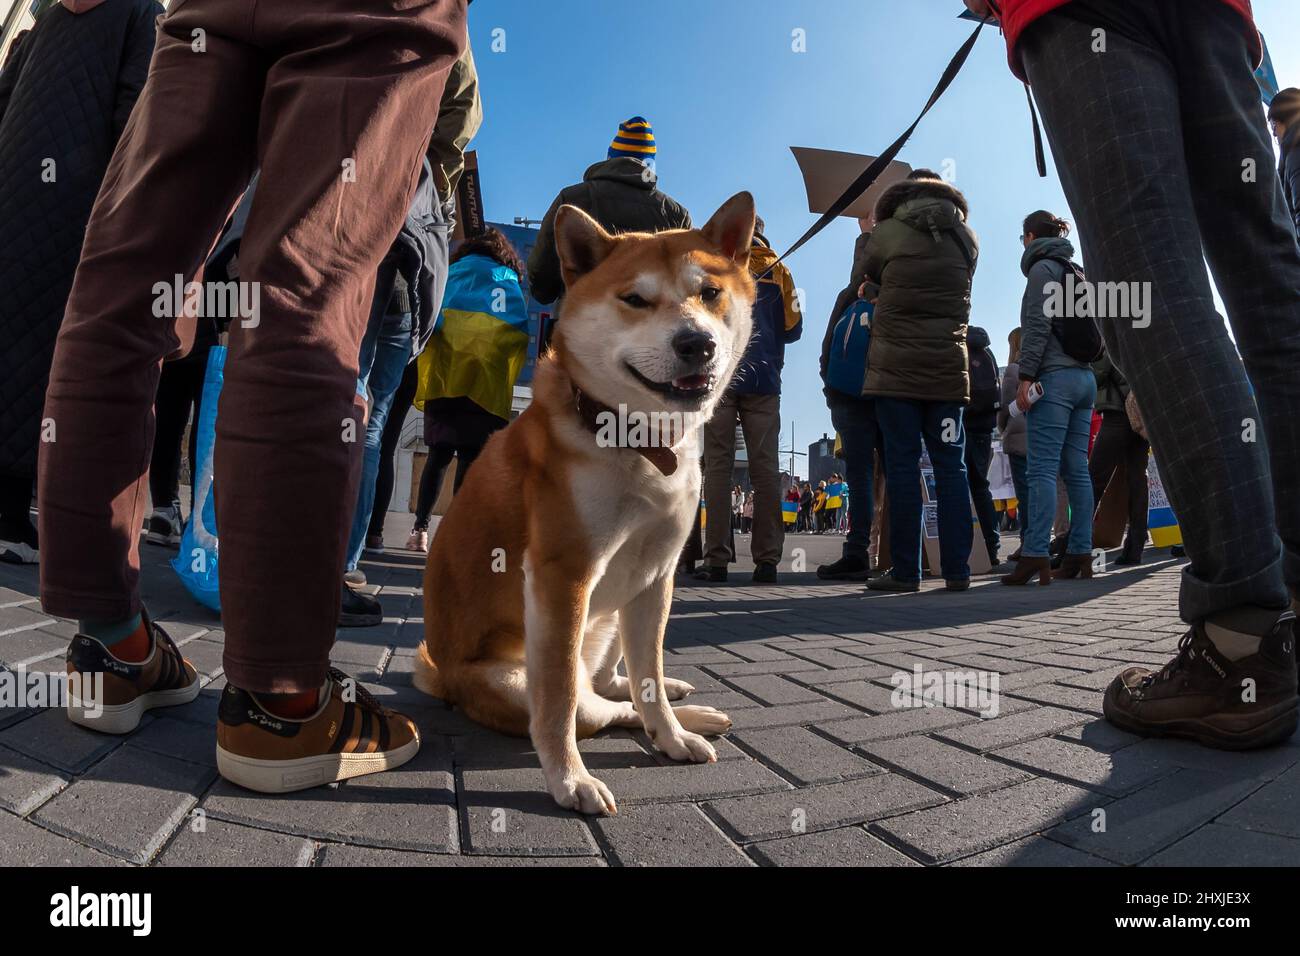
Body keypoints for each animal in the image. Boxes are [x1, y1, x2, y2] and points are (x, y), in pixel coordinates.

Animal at [421, 192, 759, 816]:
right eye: (635, 299)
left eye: (710, 292)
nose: (695, 342)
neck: (641, 441)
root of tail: (442, 675)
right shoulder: (564, 578)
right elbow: (557, 704)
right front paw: (569, 779)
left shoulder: (658, 574)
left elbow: (649, 675)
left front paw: (671, 735)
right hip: (519, 669)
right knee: (589, 704)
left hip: (613, 615)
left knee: (614, 685)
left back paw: (685, 709)